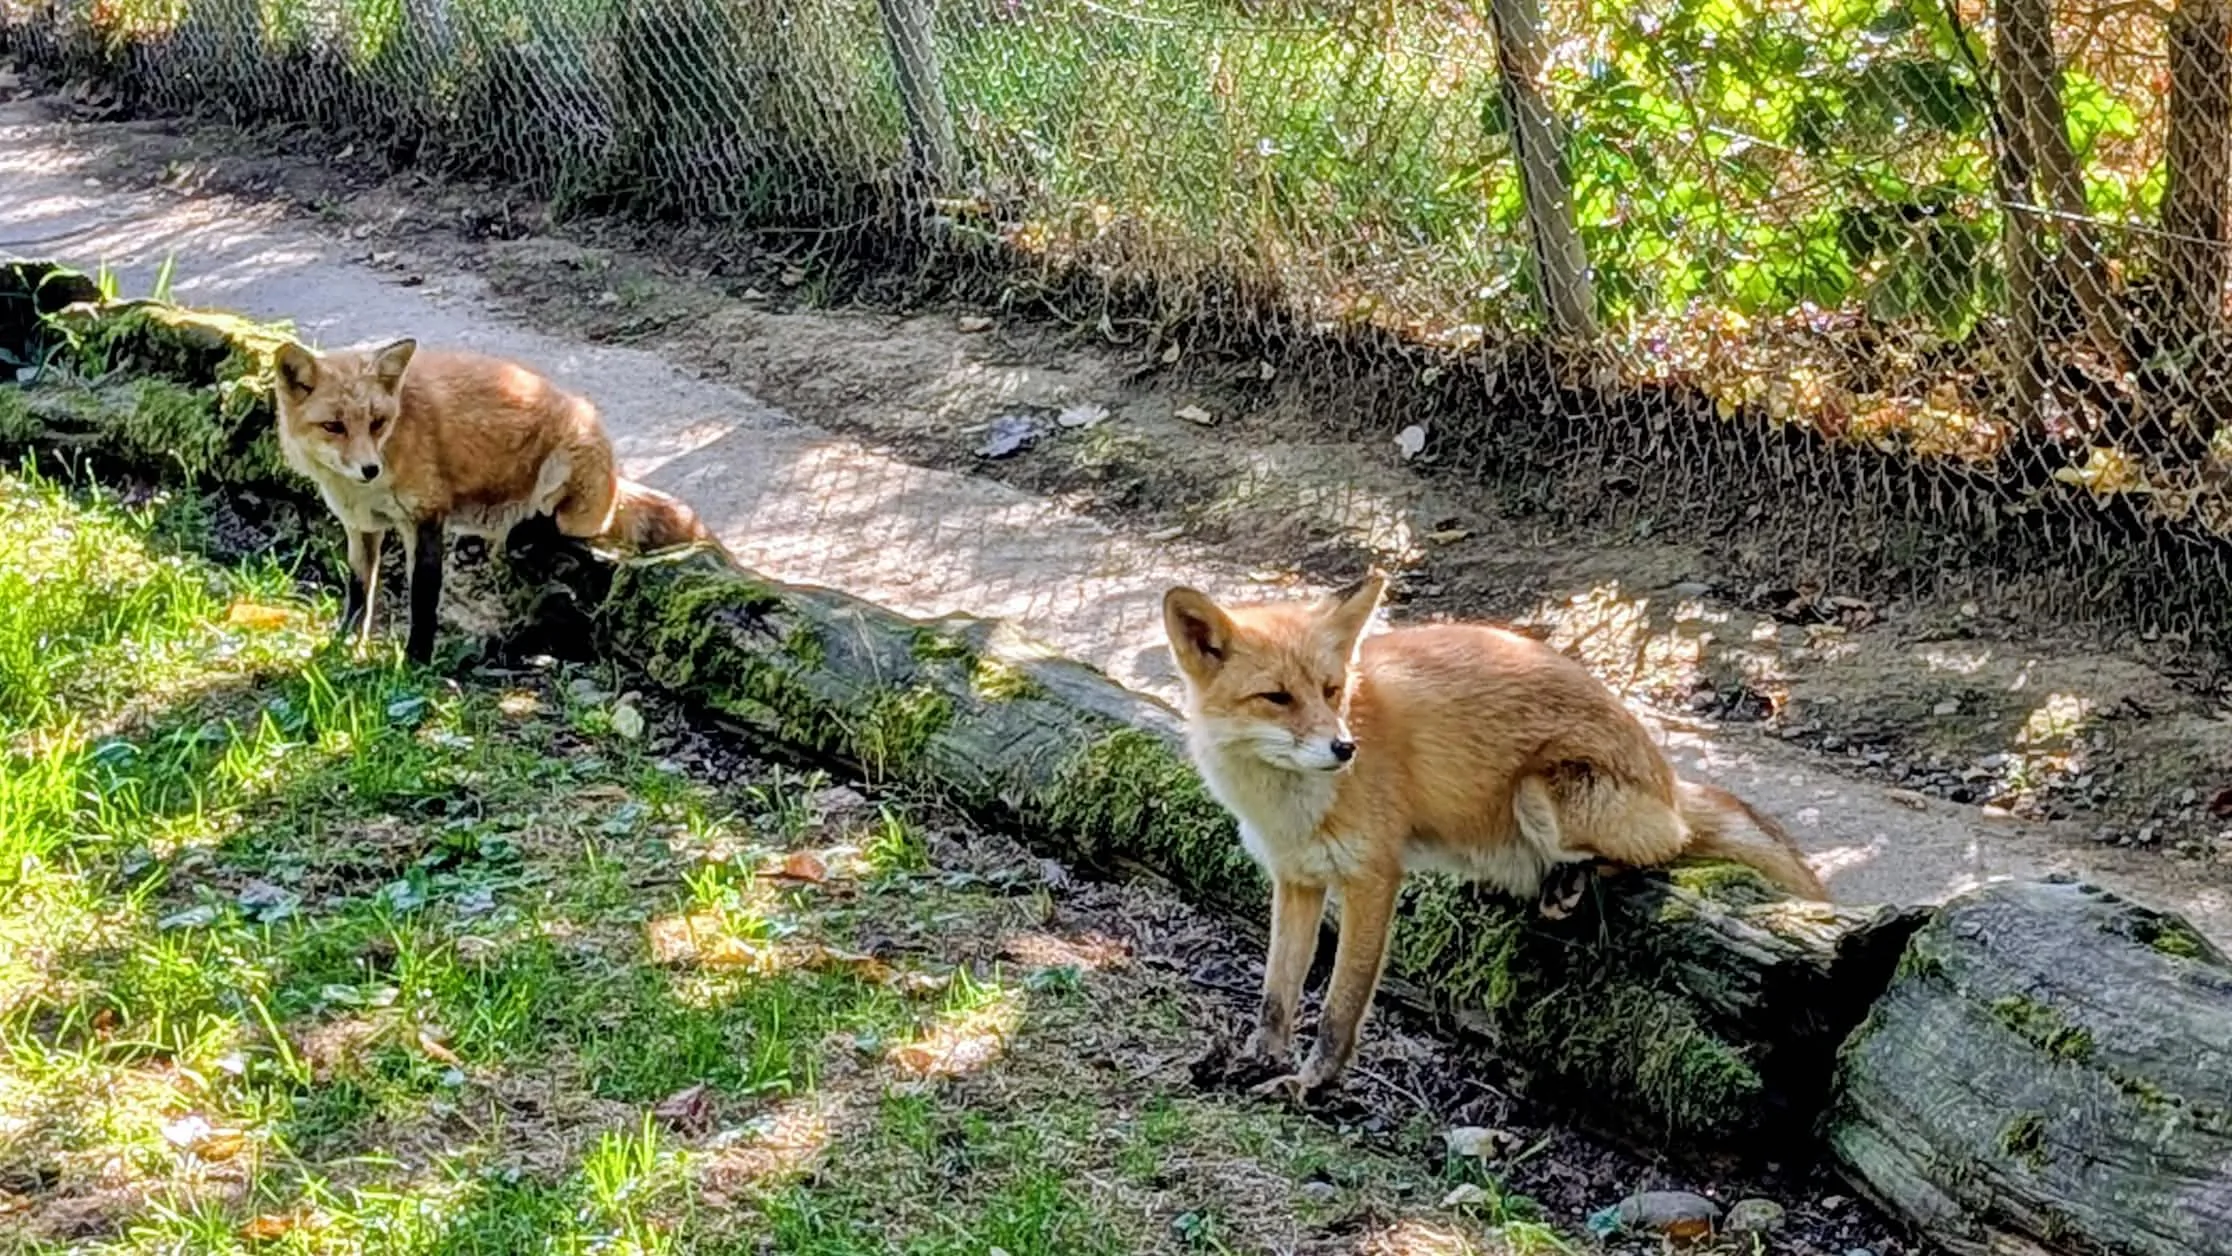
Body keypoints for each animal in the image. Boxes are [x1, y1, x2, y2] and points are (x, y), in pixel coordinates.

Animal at [273, 338, 725, 663]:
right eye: (334, 426)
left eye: (377, 422)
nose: (370, 468)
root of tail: (615, 475)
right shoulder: (362, 526)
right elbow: (358, 593)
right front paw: (343, 646)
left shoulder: (426, 518)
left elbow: (424, 597)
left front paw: (416, 661)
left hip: (568, 486)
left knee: (570, 532)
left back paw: (532, 535)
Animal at [1162, 573, 1828, 1100]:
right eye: (1276, 698)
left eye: (1330, 691)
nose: (1344, 748)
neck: (1286, 806)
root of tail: (1666, 775)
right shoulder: (1296, 879)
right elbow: (1276, 995)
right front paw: (1257, 1061)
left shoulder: (1373, 878)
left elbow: (1337, 1011)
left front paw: (1308, 1085)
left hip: (1536, 793)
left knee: (1665, 846)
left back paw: (1567, 881)